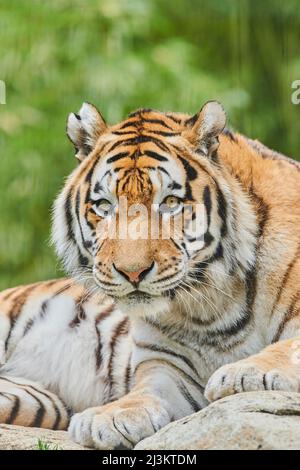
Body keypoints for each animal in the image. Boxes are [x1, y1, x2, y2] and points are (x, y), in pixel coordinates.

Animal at [0, 101, 300, 450]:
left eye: (170, 202)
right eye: (104, 205)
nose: (132, 272)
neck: (213, 304)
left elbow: (288, 347)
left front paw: (246, 372)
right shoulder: (168, 365)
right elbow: (146, 391)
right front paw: (109, 418)